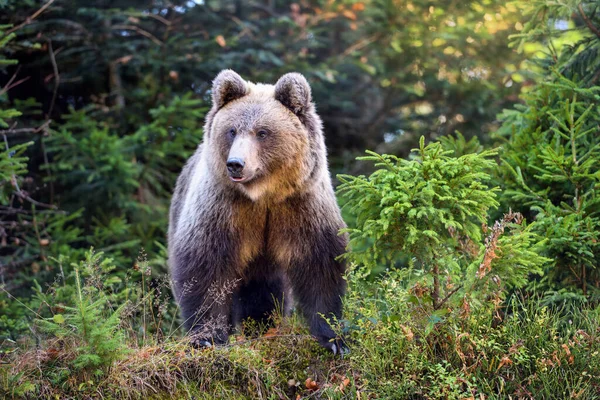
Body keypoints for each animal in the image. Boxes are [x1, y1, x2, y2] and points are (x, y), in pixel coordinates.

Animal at [169, 70, 346, 354]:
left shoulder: (300, 205)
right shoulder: (223, 208)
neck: (262, 195)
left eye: (262, 132)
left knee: (264, 291)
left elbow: (319, 265)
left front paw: (333, 339)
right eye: (232, 130)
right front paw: (207, 337)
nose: (235, 164)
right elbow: (206, 268)